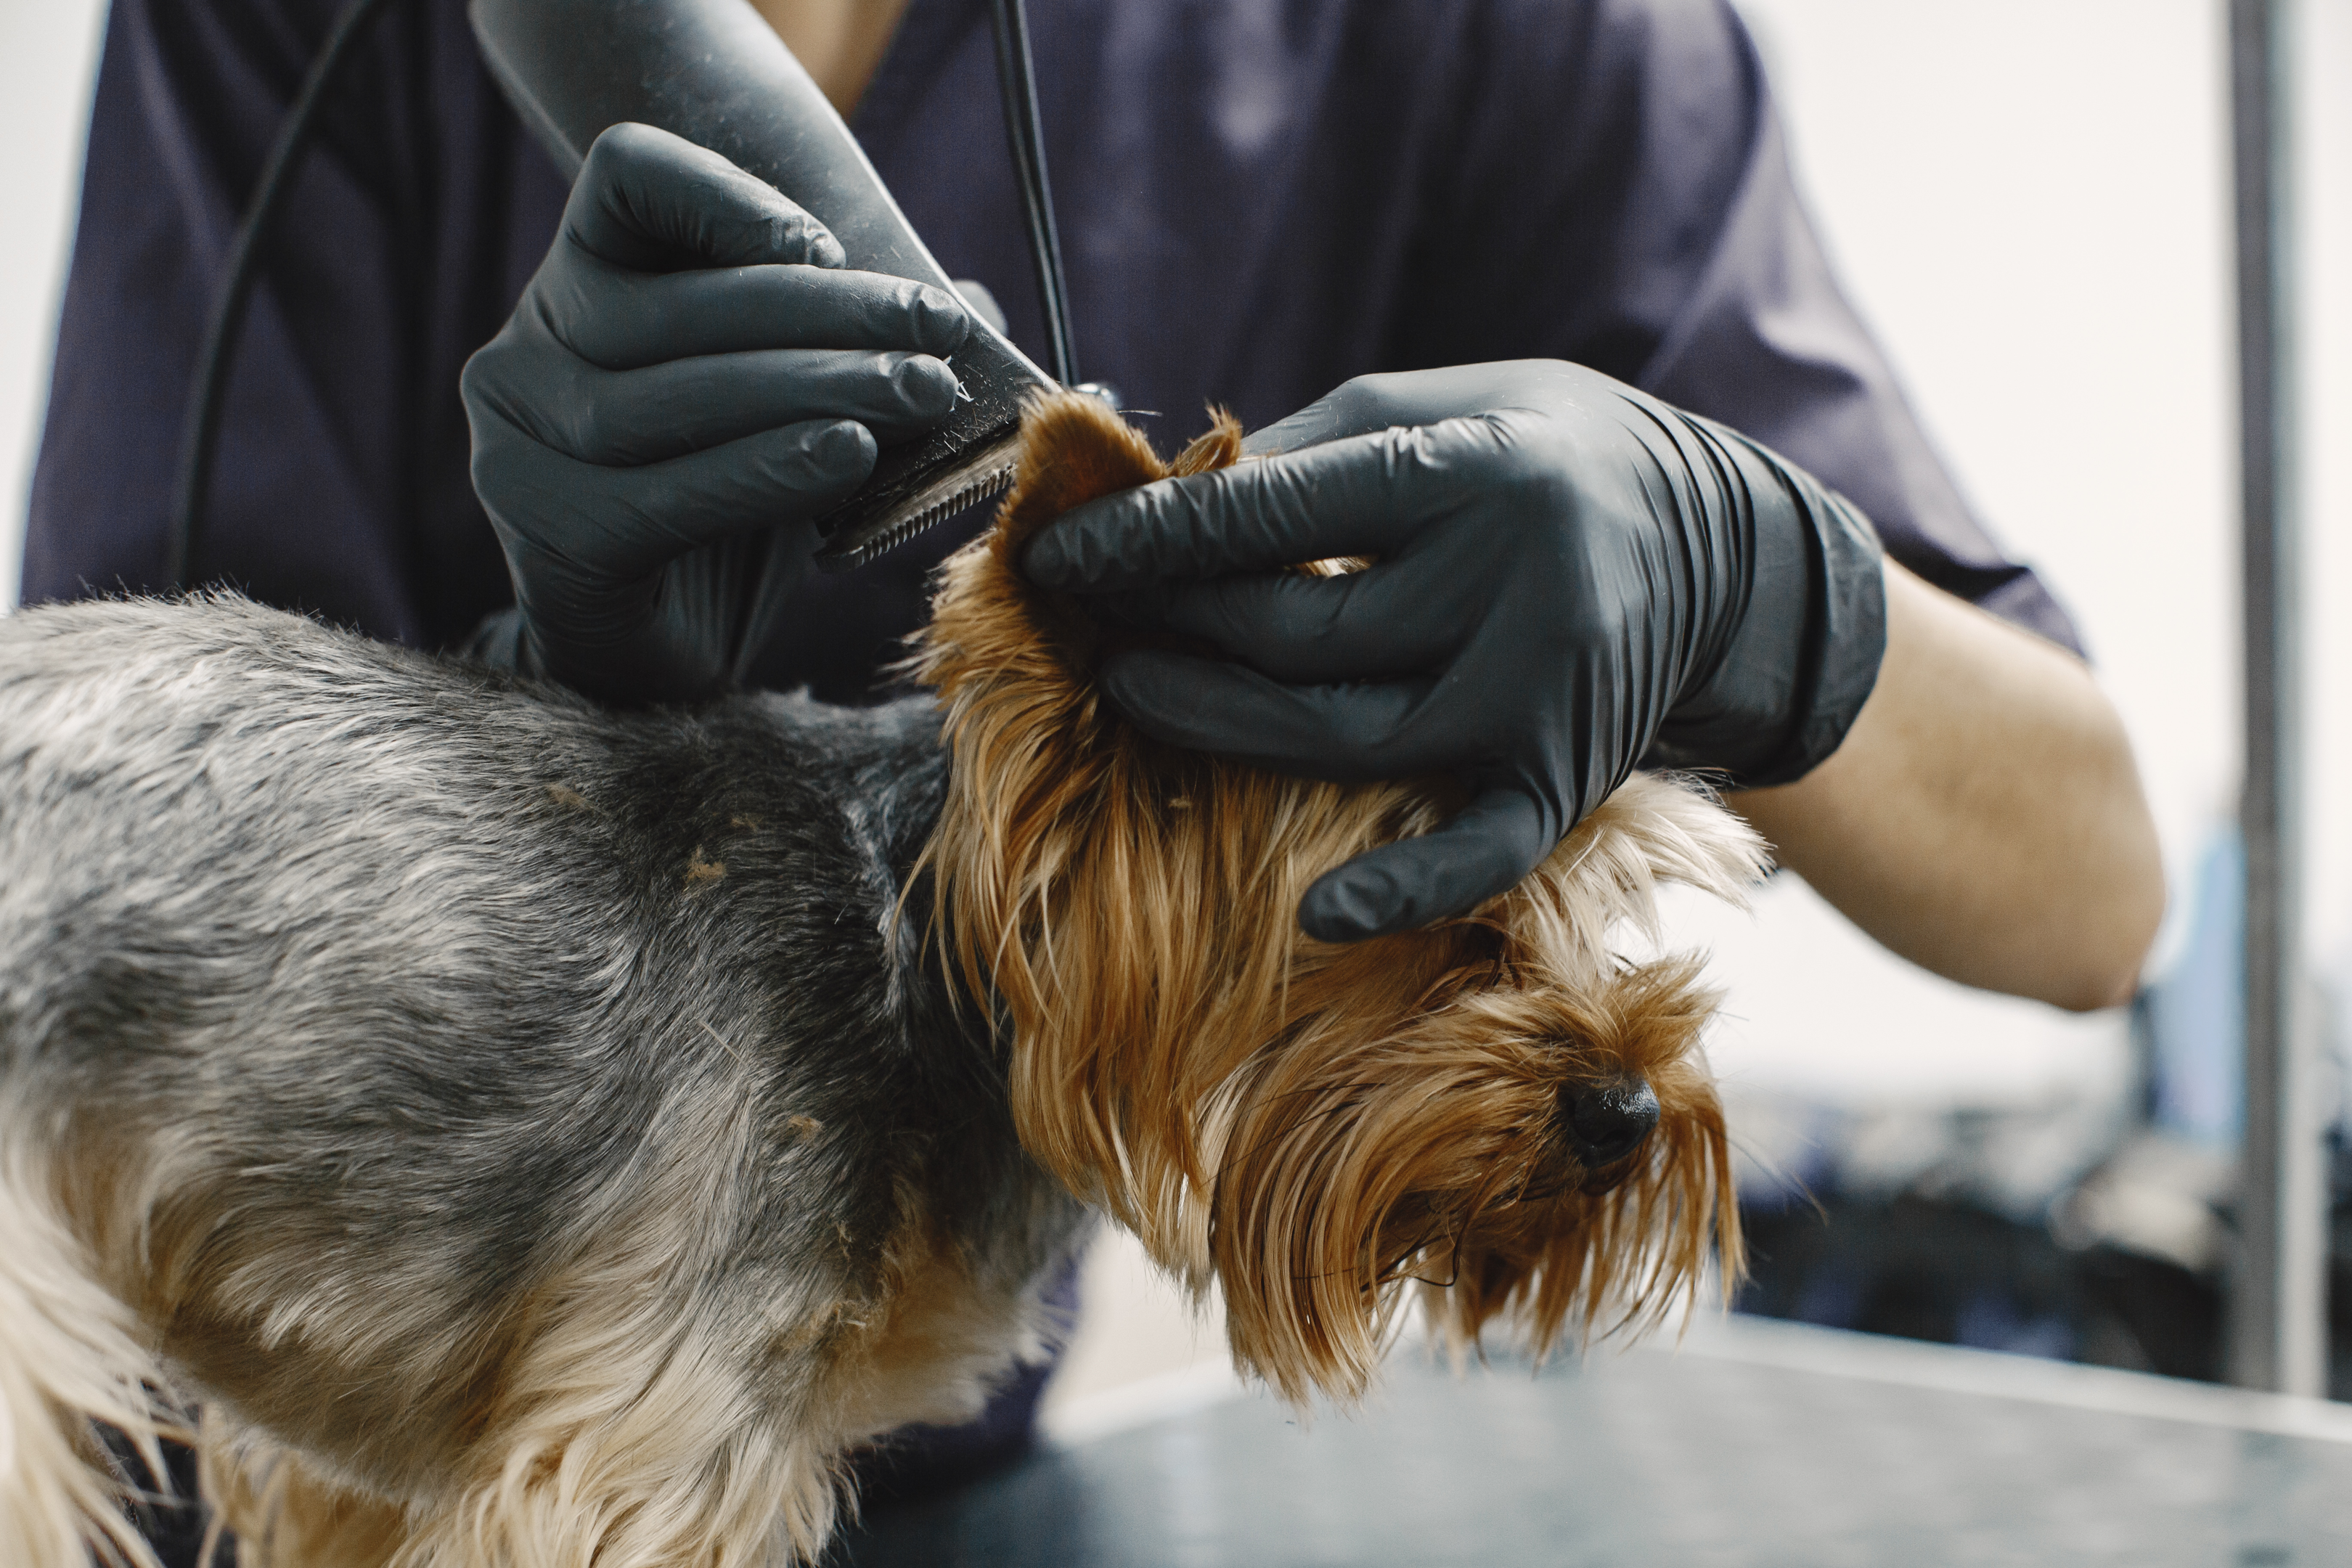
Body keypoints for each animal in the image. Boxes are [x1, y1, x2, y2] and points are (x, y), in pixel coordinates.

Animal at [0, 392, 1768, 1568]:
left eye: (1597, 887)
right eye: (1422, 897)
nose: (1626, 1110)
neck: (935, 950)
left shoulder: (371, 1482)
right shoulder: (655, 1445)